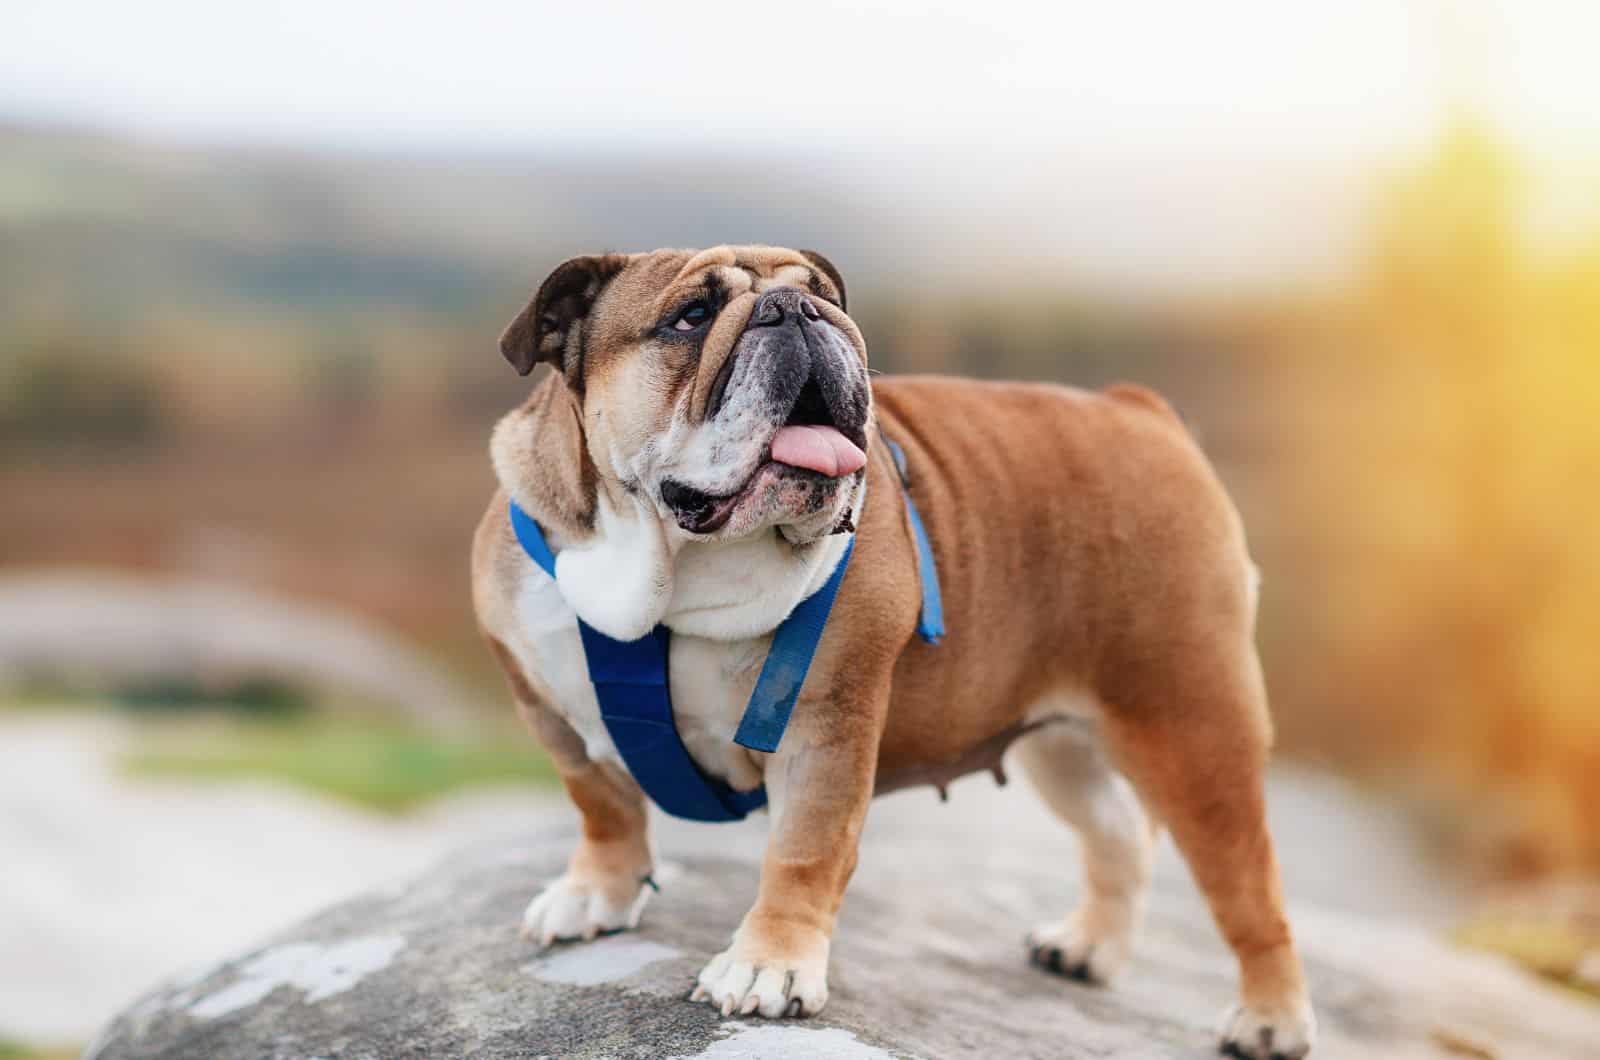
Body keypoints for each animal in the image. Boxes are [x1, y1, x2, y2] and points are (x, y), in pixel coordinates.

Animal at [467, 244, 1318, 1056]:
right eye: (692, 316)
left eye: (825, 296)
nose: (797, 310)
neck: (671, 578)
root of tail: (1139, 410)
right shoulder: (546, 708)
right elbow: (602, 806)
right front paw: (598, 896)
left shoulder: (824, 724)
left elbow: (804, 851)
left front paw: (769, 966)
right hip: (1061, 741)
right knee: (1116, 832)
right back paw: (1087, 949)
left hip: (1192, 725)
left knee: (1249, 889)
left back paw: (1270, 1020)